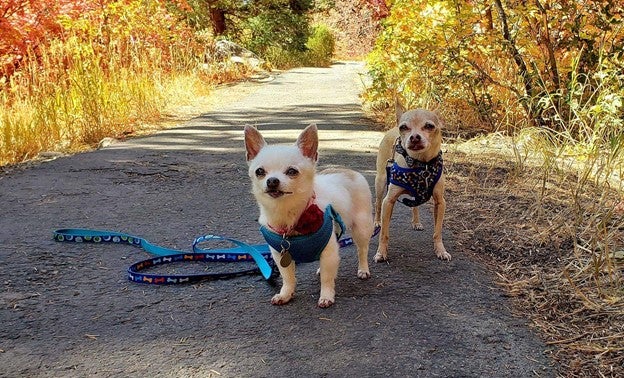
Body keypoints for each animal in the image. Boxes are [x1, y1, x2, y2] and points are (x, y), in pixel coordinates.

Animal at [244, 124, 372, 308]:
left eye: (292, 171)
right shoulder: (280, 254)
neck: (289, 215)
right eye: (260, 171)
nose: (272, 180)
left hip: (361, 227)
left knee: (362, 249)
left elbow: (327, 279)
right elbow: (288, 277)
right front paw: (285, 294)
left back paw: (363, 269)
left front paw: (326, 296)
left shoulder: (328, 251)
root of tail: (348, 170)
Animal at [372, 104, 450, 262]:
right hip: (381, 182)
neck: (421, 165)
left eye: (429, 126)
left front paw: (440, 250)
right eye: (404, 127)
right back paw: (377, 221)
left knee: (415, 206)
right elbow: (384, 234)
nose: (414, 137)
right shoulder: (388, 201)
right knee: (377, 204)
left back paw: (416, 222)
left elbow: (437, 231)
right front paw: (381, 252)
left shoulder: (440, 203)